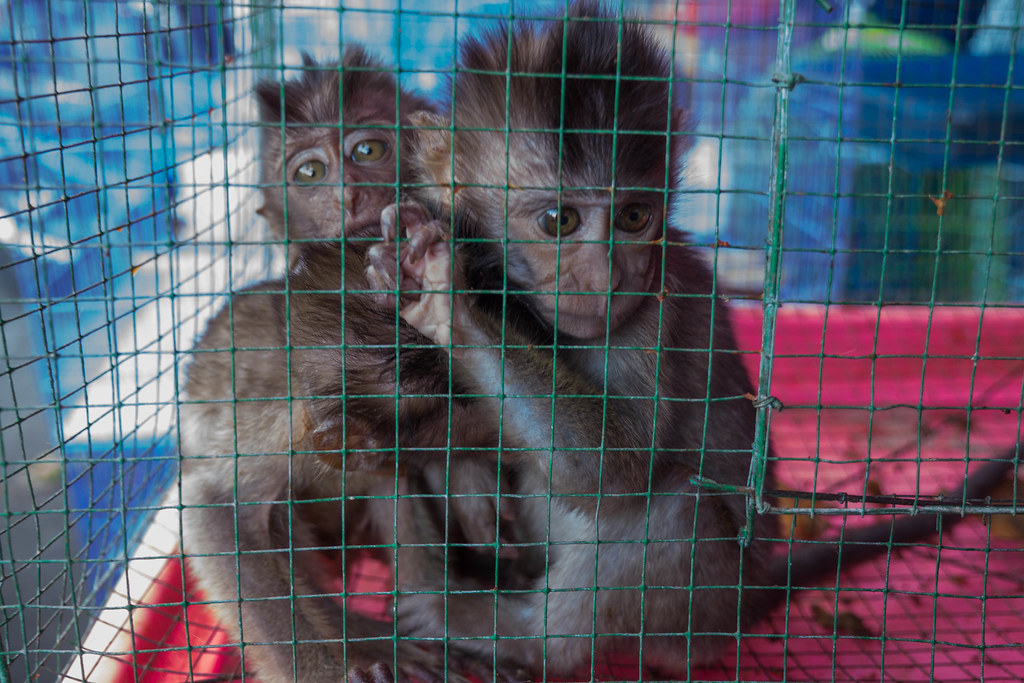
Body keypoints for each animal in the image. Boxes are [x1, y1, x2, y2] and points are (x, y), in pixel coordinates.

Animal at [178, 48, 520, 683]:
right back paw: (368, 637)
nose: (350, 197)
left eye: (368, 151)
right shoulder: (292, 414)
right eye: (310, 173)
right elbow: (217, 510)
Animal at [364, 2, 1019, 679]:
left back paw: (517, 635)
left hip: (694, 618)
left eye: (634, 217)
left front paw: (445, 296)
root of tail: (743, 608)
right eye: (558, 221)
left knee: (673, 508)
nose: (607, 276)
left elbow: (614, 468)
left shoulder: (652, 315)